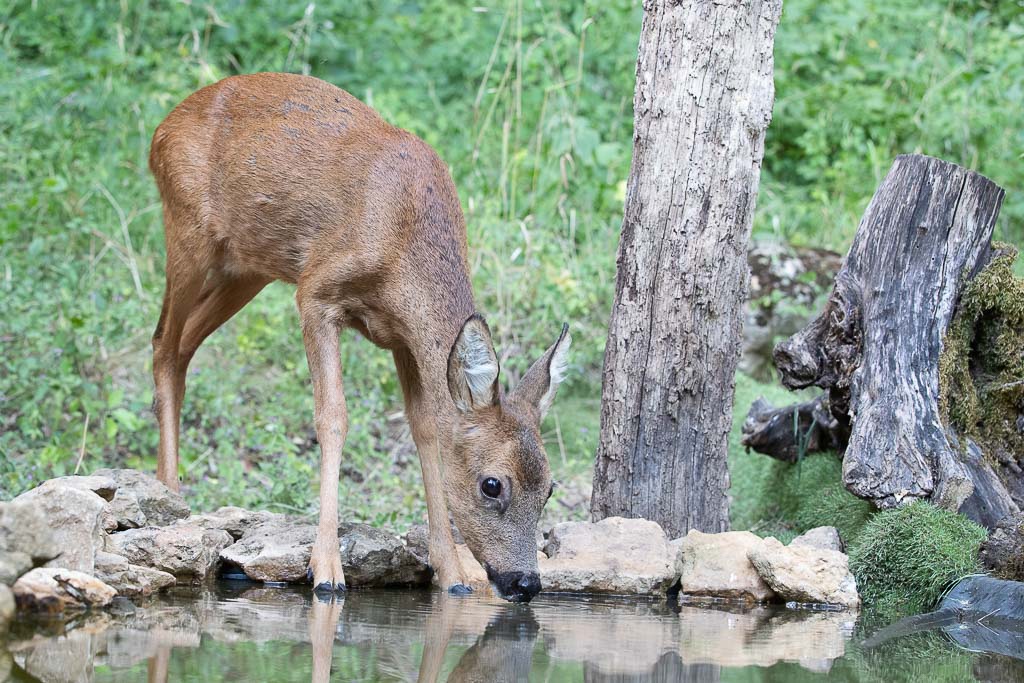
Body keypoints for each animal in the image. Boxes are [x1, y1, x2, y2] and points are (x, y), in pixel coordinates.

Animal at [149, 72, 573, 602]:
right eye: (492, 484)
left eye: (550, 487)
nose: (526, 583)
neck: (402, 245)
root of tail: (160, 130)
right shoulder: (316, 292)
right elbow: (333, 416)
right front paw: (326, 569)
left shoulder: (404, 338)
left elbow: (425, 430)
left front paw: (452, 573)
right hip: (188, 232)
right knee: (162, 344)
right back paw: (169, 495)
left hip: (246, 268)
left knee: (182, 346)